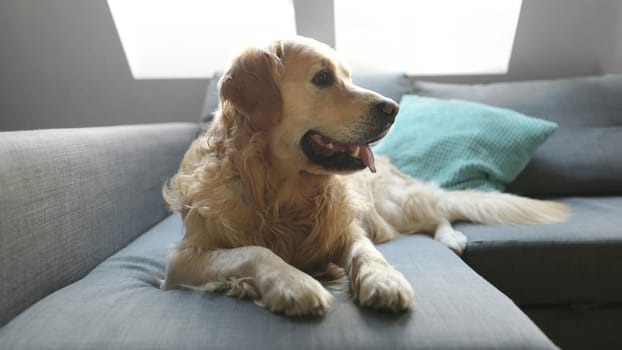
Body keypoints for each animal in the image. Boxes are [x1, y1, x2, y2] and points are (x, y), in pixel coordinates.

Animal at [161, 36, 572, 318]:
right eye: (322, 77)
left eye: (348, 76)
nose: (393, 109)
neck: (280, 190)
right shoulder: (183, 259)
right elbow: (254, 251)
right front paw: (292, 282)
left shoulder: (345, 228)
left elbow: (367, 252)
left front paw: (384, 280)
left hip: (394, 203)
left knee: (438, 212)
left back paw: (451, 237)